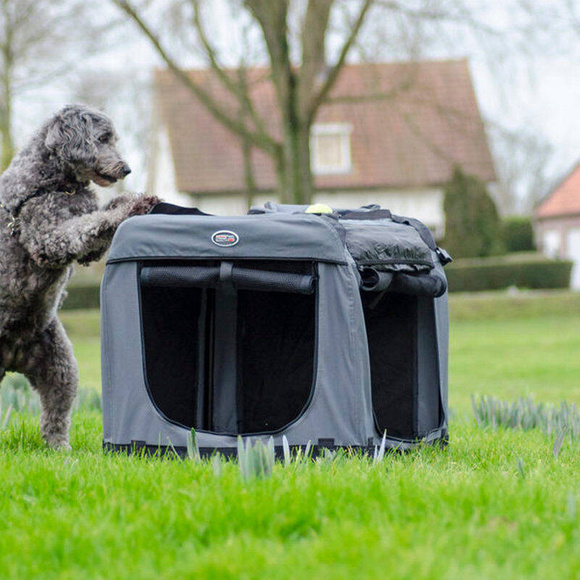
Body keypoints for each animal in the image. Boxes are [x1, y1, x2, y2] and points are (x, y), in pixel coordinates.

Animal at [0, 104, 160, 448]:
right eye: (101, 138)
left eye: (113, 139)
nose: (126, 169)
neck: (57, 182)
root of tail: (12, 353)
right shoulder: (50, 236)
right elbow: (88, 224)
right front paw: (129, 208)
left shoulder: (87, 251)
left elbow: (97, 221)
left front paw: (130, 200)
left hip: (61, 367)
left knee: (55, 416)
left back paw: (60, 449)